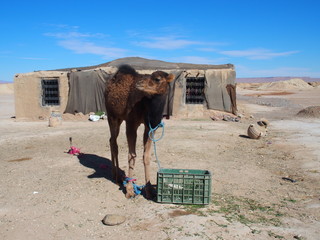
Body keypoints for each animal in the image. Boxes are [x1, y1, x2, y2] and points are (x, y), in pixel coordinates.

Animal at [105, 65, 175, 199]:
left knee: (111, 140)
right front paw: (130, 190)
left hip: (119, 118)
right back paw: (116, 176)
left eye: (157, 79)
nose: (139, 83)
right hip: (112, 116)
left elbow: (146, 156)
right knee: (114, 142)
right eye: (150, 75)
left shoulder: (151, 127)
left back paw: (116, 174)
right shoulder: (131, 123)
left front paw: (149, 190)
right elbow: (132, 155)